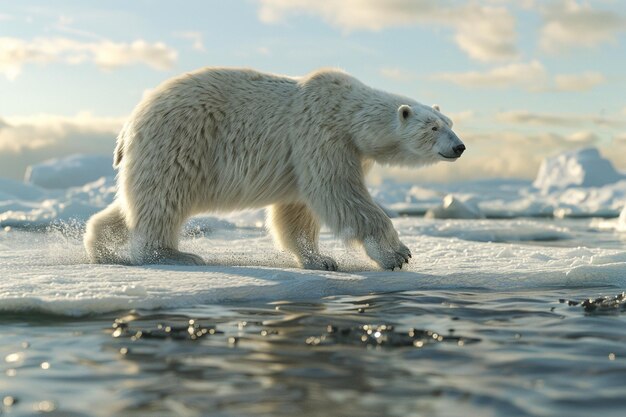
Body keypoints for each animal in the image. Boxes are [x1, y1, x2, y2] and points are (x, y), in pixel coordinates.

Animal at [84, 68, 464, 270]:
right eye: (433, 127)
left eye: (449, 122)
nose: (459, 147)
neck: (348, 114)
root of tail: (128, 125)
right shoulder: (321, 135)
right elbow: (339, 193)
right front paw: (396, 254)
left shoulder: (312, 154)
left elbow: (296, 211)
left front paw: (320, 260)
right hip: (181, 140)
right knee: (165, 198)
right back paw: (175, 254)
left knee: (137, 203)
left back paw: (102, 248)